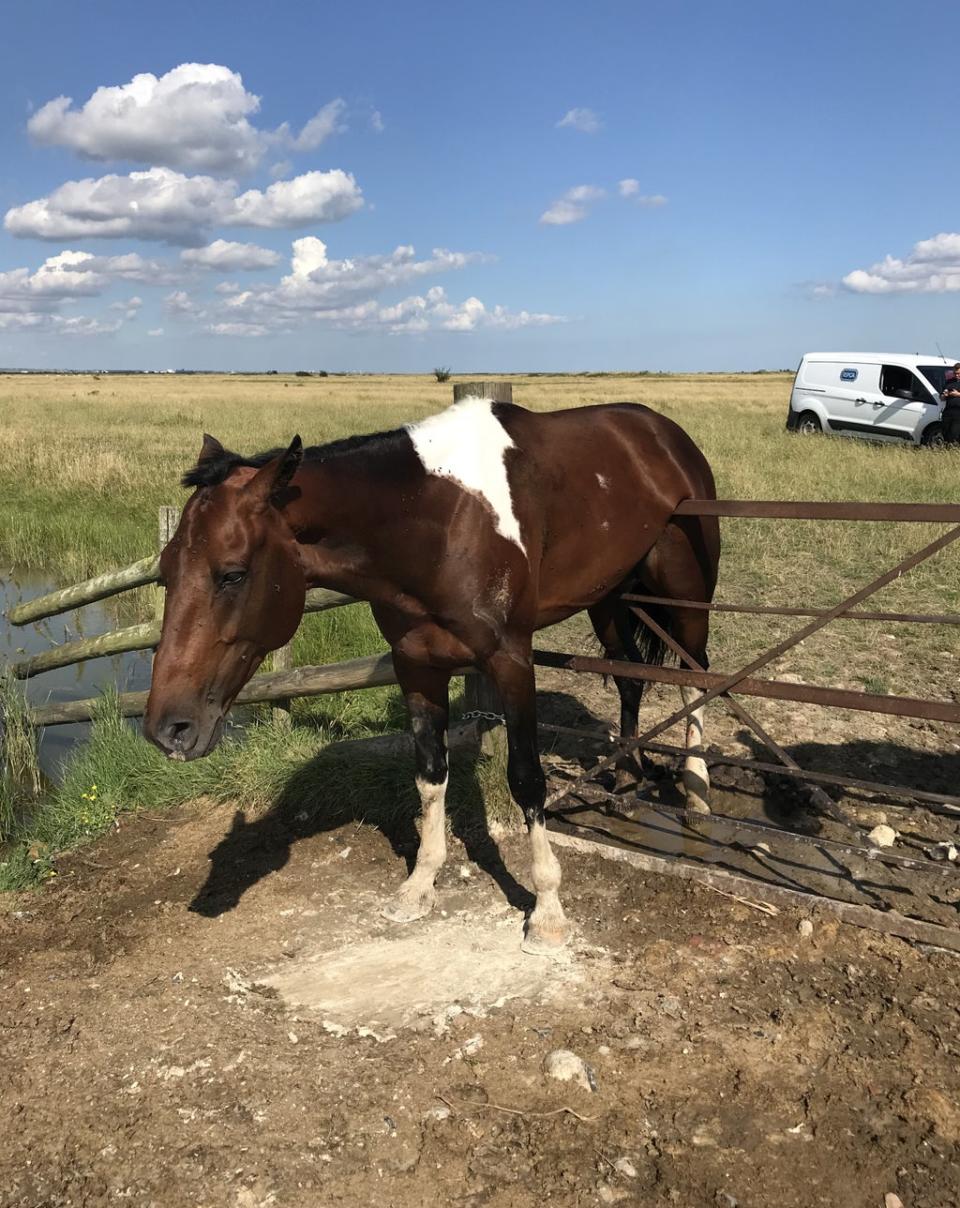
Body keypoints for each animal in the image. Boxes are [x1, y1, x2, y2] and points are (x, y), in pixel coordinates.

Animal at [144, 396, 719, 951]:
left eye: (232, 574)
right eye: (165, 571)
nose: (168, 730)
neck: (436, 522)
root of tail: (662, 432)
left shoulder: (511, 661)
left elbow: (526, 778)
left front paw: (548, 912)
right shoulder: (416, 665)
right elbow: (429, 774)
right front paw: (419, 885)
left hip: (686, 594)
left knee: (698, 675)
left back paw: (695, 791)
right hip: (610, 596)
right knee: (629, 677)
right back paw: (628, 776)